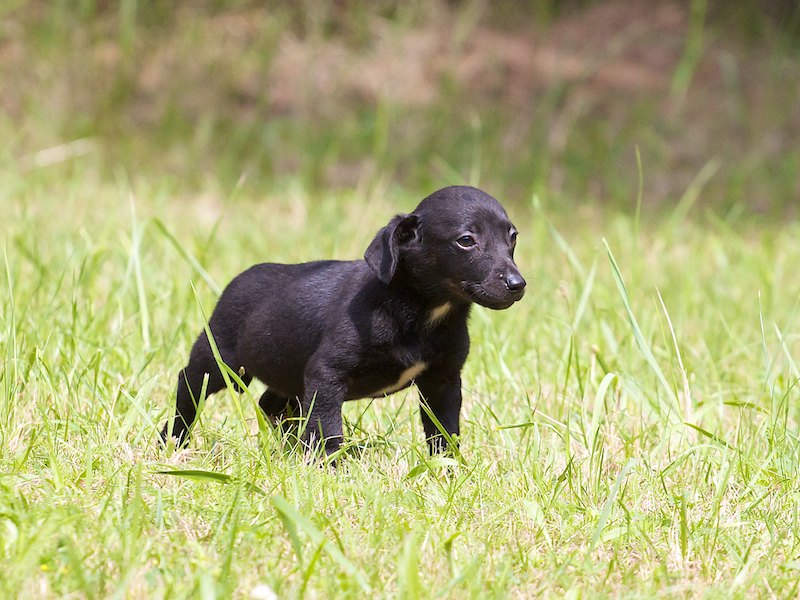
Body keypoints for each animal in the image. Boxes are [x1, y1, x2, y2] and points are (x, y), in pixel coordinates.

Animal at [160, 185, 525, 456]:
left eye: (513, 237)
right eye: (466, 240)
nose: (517, 284)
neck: (420, 312)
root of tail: (237, 280)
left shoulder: (443, 380)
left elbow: (445, 432)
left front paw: (448, 471)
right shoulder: (326, 374)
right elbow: (328, 427)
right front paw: (329, 468)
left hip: (286, 374)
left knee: (272, 403)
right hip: (218, 359)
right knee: (188, 387)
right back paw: (174, 440)